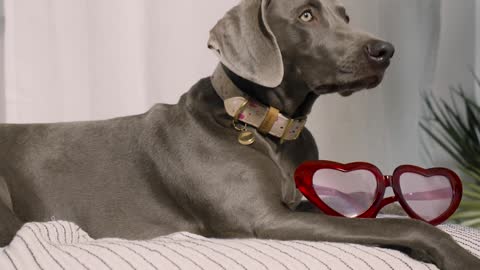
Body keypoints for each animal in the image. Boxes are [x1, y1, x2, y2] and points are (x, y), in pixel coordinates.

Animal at [0, 0, 480, 268]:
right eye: (306, 14)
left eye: (346, 15)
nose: (386, 50)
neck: (265, 125)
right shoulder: (263, 220)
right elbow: (402, 226)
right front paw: (459, 256)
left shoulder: (297, 204)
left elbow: (383, 215)